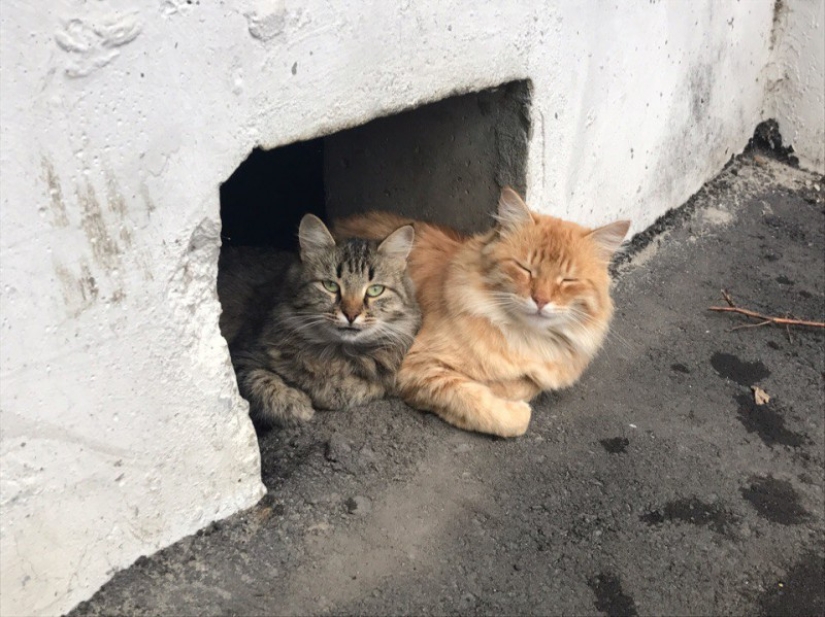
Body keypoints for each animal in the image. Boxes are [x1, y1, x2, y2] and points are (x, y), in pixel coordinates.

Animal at [217, 214, 418, 426]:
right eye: (330, 286)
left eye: (375, 290)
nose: (351, 315)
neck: (337, 352)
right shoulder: (241, 357)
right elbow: (262, 383)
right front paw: (298, 405)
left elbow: (363, 388)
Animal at [334, 188, 632, 438]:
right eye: (525, 269)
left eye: (567, 280)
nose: (541, 300)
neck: (525, 337)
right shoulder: (421, 366)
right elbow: (484, 405)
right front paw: (507, 403)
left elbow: (526, 384)